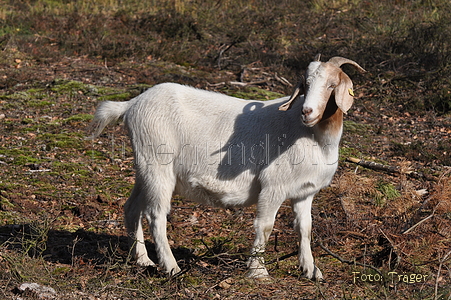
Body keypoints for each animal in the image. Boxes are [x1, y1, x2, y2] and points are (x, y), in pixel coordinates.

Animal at [89, 55, 368, 280]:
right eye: (306, 85)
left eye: (331, 85)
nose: (307, 112)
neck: (314, 138)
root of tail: (132, 104)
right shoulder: (273, 186)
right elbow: (265, 226)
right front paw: (258, 271)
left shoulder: (305, 192)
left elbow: (305, 229)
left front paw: (311, 271)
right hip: (158, 164)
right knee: (155, 214)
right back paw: (171, 267)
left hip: (145, 169)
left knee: (132, 207)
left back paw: (143, 260)